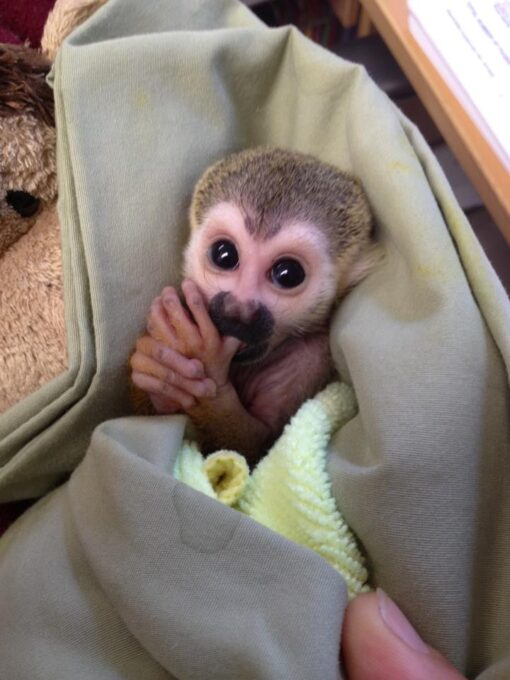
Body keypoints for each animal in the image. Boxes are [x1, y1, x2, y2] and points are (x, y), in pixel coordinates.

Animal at [130, 147, 378, 462]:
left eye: (288, 274)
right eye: (224, 255)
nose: (238, 312)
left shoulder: (312, 358)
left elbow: (256, 448)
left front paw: (205, 373)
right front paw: (155, 364)